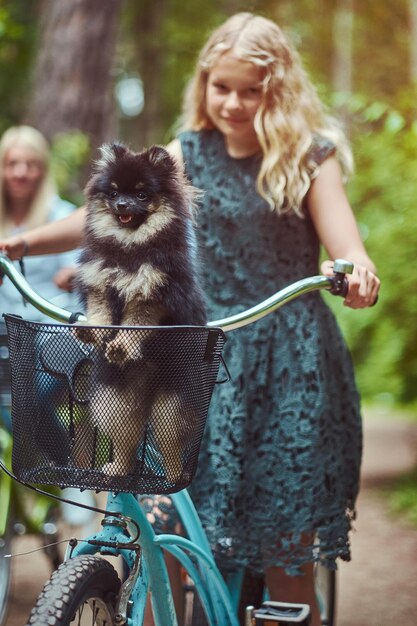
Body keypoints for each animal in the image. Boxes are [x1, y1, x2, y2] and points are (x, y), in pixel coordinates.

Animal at [74, 143, 206, 478]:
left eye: (142, 194)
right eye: (113, 192)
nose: (122, 203)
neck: (129, 249)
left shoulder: (152, 293)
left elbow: (136, 323)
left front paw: (122, 345)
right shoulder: (100, 285)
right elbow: (100, 314)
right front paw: (91, 330)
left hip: (171, 404)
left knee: (171, 445)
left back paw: (174, 474)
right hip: (116, 399)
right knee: (127, 437)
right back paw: (119, 468)